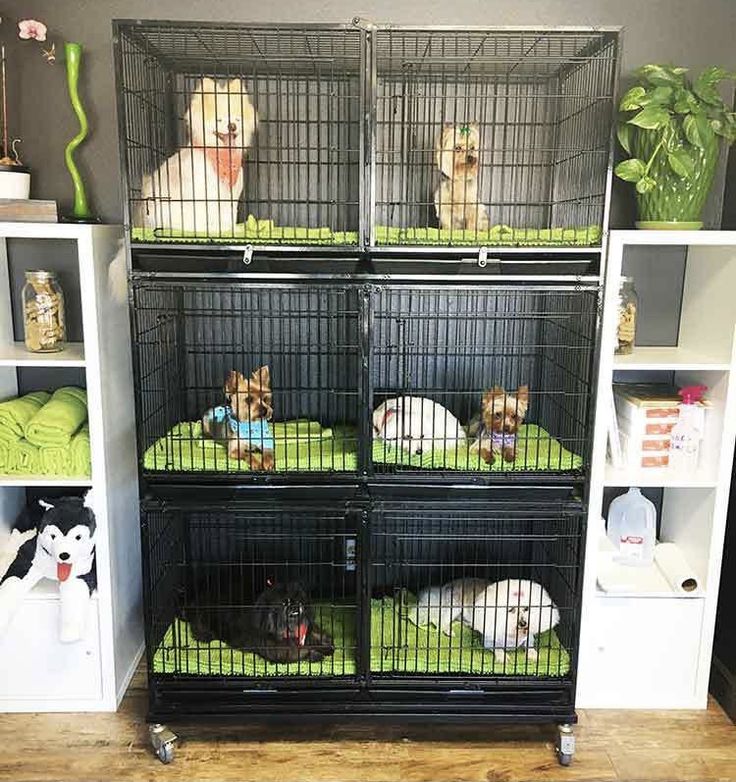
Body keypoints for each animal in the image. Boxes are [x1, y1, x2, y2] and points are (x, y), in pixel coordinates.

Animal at [142, 77, 258, 237]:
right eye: (219, 120)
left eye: (237, 119)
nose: (232, 126)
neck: (221, 156)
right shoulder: (204, 192)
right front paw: (219, 230)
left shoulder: (230, 195)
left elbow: (229, 213)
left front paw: (233, 230)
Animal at [184, 580, 334, 664]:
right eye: (285, 603)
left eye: (299, 600)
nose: (296, 607)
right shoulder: (276, 648)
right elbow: (298, 651)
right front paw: (314, 653)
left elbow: (317, 636)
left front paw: (326, 644)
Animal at [412, 580, 560, 664]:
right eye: (510, 609)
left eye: (526, 609)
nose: (523, 623)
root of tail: (447, 586)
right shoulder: (488, 641)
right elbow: (498, 648)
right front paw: (502, 657)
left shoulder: (527, 637)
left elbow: (529, 645)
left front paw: (533, 653)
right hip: (455, 606)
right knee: (439, 621)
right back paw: (448, 630)